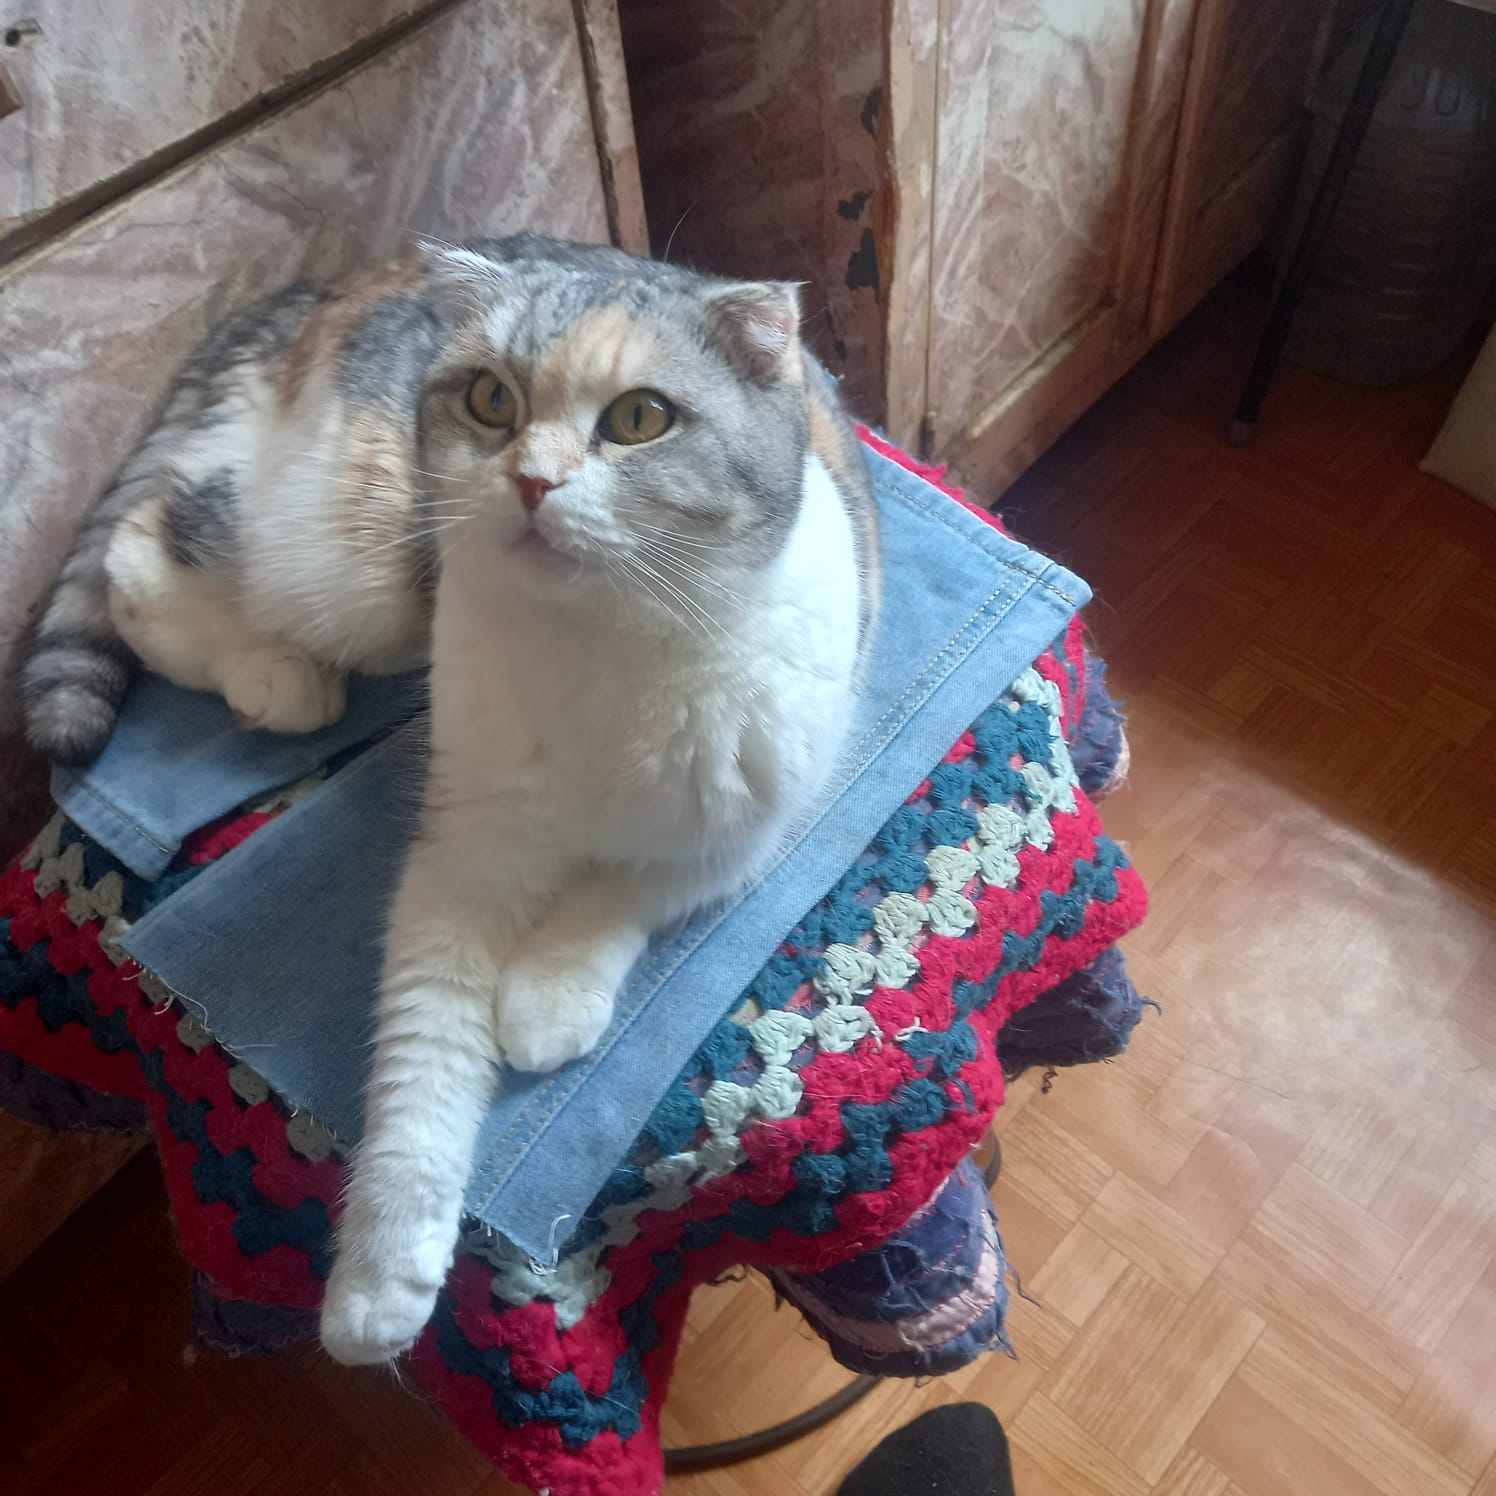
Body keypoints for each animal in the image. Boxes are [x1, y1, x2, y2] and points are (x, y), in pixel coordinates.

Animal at [21, 234, 880, 1364]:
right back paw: (275, 677)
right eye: (490, 400)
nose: (531, 480)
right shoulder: (462, 853)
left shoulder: (750, 823)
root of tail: (353, 272)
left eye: (639, 418)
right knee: (150, 542)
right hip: (361, 565)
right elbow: (423, 1062)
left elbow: (625, 889)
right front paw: (380, 1281)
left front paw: (548, 998)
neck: (601, 646)